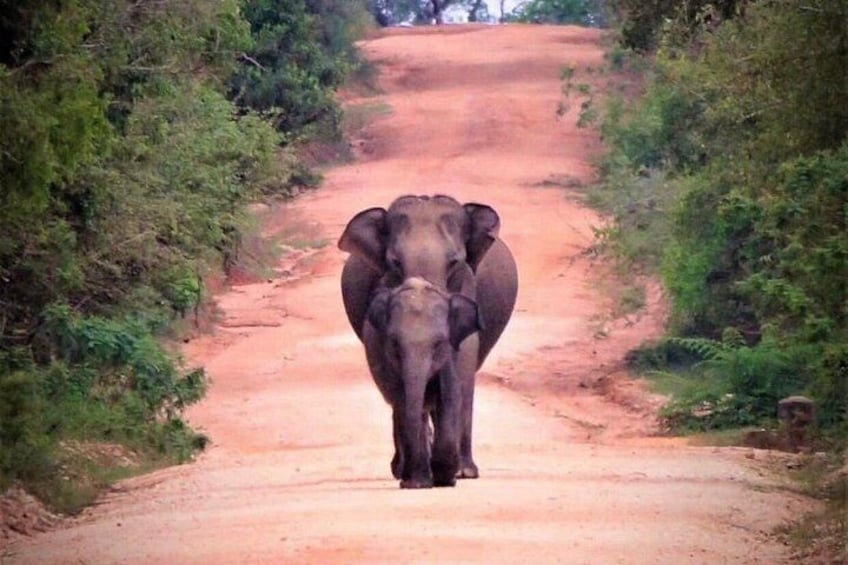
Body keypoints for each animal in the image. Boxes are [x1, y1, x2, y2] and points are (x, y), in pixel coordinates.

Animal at [363, 277, 483, 488]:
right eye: (395, 344)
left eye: (438, 344)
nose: (406, 483)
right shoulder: (390, 366)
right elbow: (406, 405)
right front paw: (418, 484)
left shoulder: (450, 357)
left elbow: (450, 398)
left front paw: (446, 479)